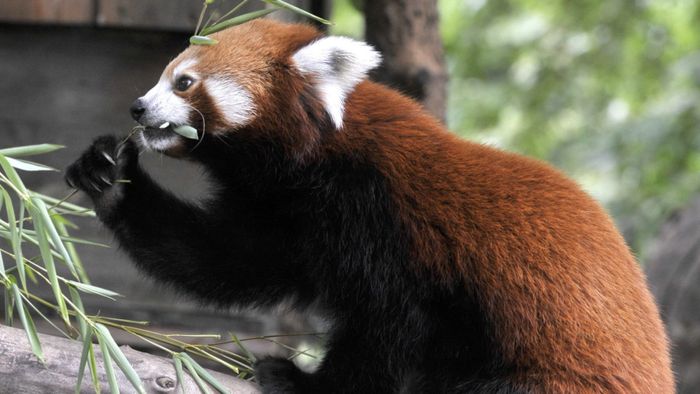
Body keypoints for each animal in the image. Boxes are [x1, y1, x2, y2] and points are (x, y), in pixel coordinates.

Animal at [65, 19, 672, 394]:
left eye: (185, 82)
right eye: (166, 74)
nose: (138, 107)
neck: (315, 166)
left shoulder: (380, 216)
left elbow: (388, 323)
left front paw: (303, 382)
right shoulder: (287, 220)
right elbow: (224, 258)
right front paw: (110, 178)